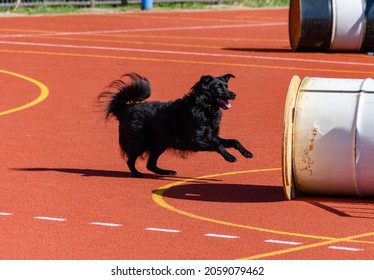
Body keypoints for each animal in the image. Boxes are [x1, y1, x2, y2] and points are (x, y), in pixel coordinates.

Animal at [98, 72, 253, 177]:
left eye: (227, 86)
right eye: (218, 88)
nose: (234, 94)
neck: (204, 109)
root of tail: (125, 108)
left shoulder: (212, 136)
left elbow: (234, 141)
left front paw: (246, 152)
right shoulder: (196, 141)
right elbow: (218, 145)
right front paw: (229, 156)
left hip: (160, 144)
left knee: (150, 164)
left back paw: (166, 172)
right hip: (140, 143)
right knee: (130, 161)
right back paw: (136, 174)